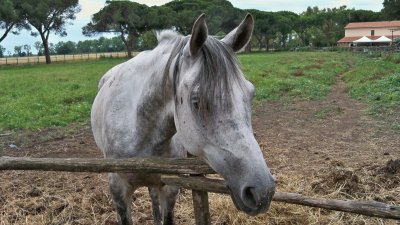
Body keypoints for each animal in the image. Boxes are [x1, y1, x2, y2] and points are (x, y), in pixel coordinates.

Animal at [92, 14, 276, 225]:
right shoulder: (118, 190)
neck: (139, 129)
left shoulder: (171, 188)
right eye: (196, 101)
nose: (263, 192)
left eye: (251, 94)